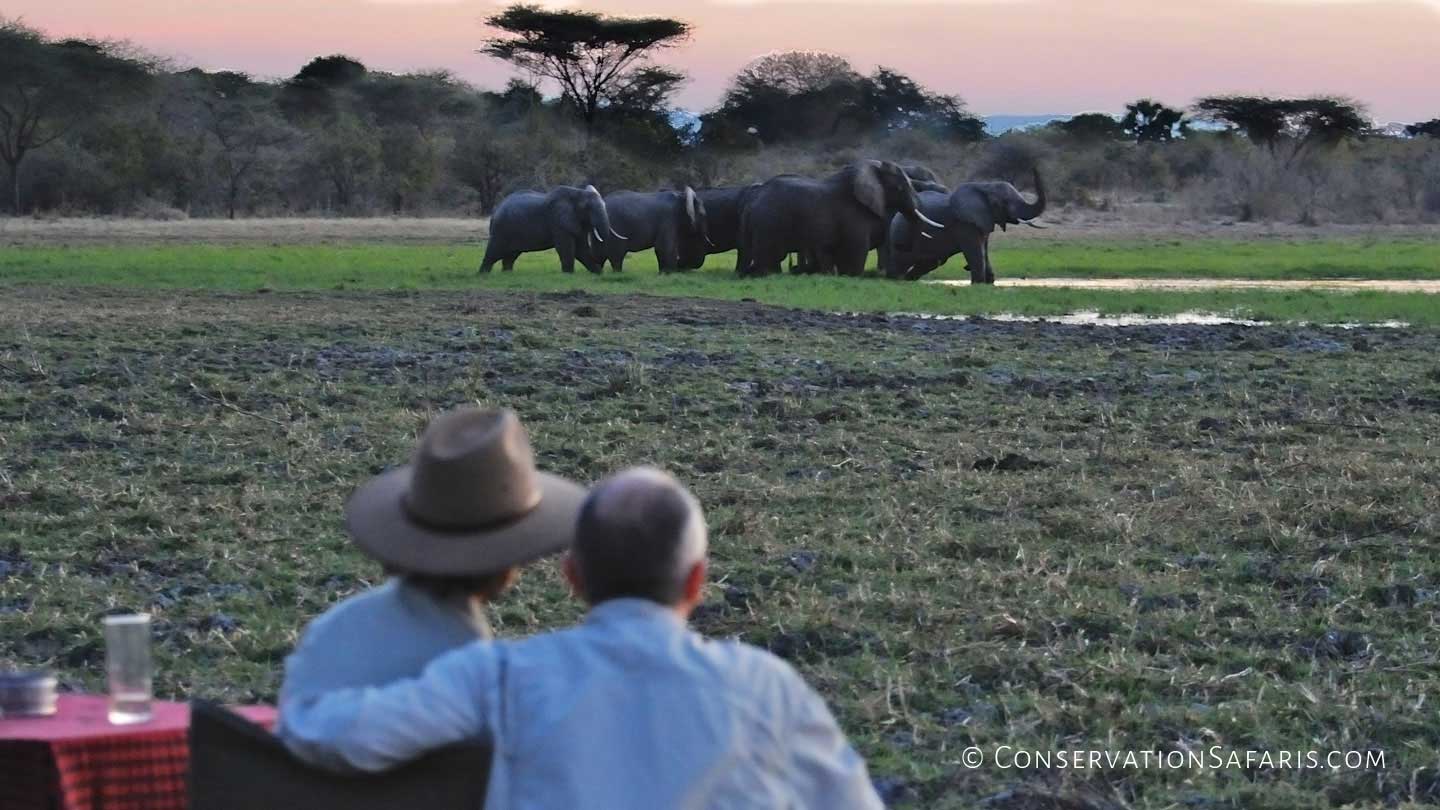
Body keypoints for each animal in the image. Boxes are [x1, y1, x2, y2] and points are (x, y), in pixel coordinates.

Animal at [478, 183, 624, 273]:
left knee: (510, 257)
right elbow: (567, 248)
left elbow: (581, 249)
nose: (603, 269)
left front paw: (598, 273)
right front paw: (568, 275)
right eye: (587, 208)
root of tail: (495, 211)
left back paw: (507, 274)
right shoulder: (558, 221)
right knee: (493, 253)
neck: (577, 193)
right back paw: (482, 275)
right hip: (501, 229)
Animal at [743, 159, 944, 279]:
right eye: (901, 188)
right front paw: (851, 276)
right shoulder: (854, 217)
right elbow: (856, 251)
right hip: (769, 222)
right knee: (769, 257)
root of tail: (755, 198)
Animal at [887, 167, 1048, 283]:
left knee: (929, 262)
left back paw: (907, 280)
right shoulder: (965, 223)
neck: (985, 186)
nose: (1034, 167)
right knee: (902, 259)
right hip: (902, 230)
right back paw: (894, 279)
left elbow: (984, 250)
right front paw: (978, 284)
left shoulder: (983, 221)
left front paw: (989, 283)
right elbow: (975, 251)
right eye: (1005, 202)